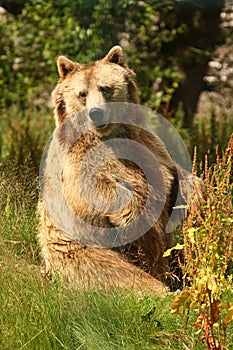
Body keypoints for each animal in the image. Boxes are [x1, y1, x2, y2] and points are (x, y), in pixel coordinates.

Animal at [38, 45, 181, 294]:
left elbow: (167, 177)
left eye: (106, 88)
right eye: (82, 94)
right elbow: (89, 194)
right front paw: (130, 214)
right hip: (82, 253)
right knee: (123, 276)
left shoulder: (149, 147)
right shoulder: (76, 163)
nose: (96, 113)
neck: (110, 136)